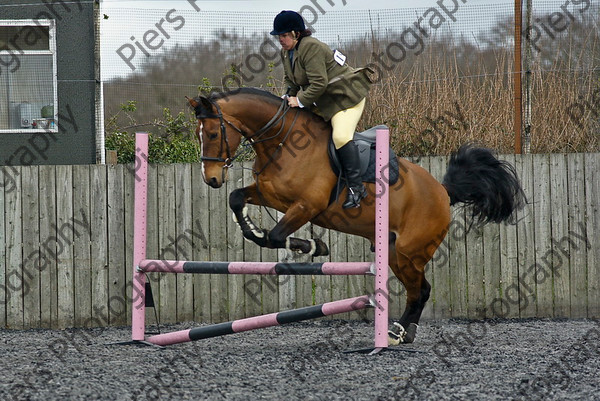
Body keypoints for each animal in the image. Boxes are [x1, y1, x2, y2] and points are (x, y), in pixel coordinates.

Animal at [188, 87, 524, 344]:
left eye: (214, 133)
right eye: (198, 134)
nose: (211, 179)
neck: (283, 141)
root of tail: (442, 191)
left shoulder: (306, 206)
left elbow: (276, 236)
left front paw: (314, 247)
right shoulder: (272, 195)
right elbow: (238, 200)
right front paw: (249, 227)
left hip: (409, 252)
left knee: (420, 291)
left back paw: (395, 333)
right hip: (392, 251)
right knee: (420, 290)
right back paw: (406, 333)